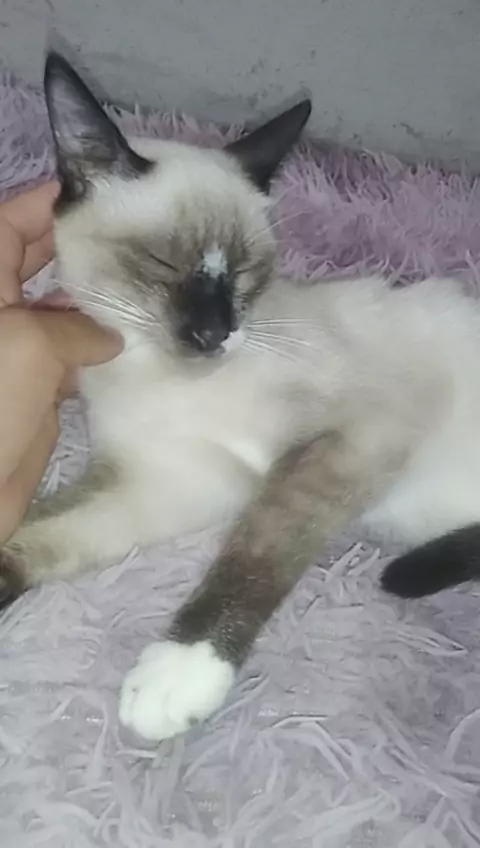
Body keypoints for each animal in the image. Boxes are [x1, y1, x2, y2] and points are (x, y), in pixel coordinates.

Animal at [1, 52, 478, 743]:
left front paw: (176, 677)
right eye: (164, 265)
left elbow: (256, 552)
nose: (213, 333)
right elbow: (42, 534)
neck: (159, 374)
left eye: (247, 270)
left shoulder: (348, 441)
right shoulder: (167, 482)